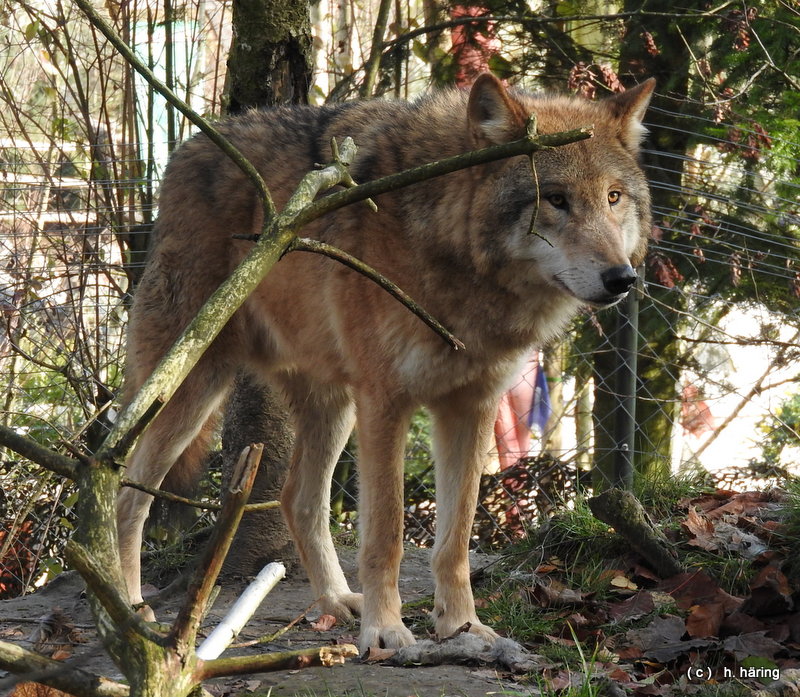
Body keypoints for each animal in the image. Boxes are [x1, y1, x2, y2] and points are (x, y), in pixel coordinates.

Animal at [120, 73, 656, 648]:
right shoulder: (385, 403)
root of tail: (185, 150)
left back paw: (336, 601)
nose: (623, 278)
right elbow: (386, 532)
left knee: (297, 499)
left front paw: (463, 626)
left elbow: (456, 539)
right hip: (191, 387)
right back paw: (129, 607)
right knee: (127, 494)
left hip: (331, 405)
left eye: (614, 197)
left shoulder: (472, 406)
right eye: (555, 198)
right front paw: (386, 632)